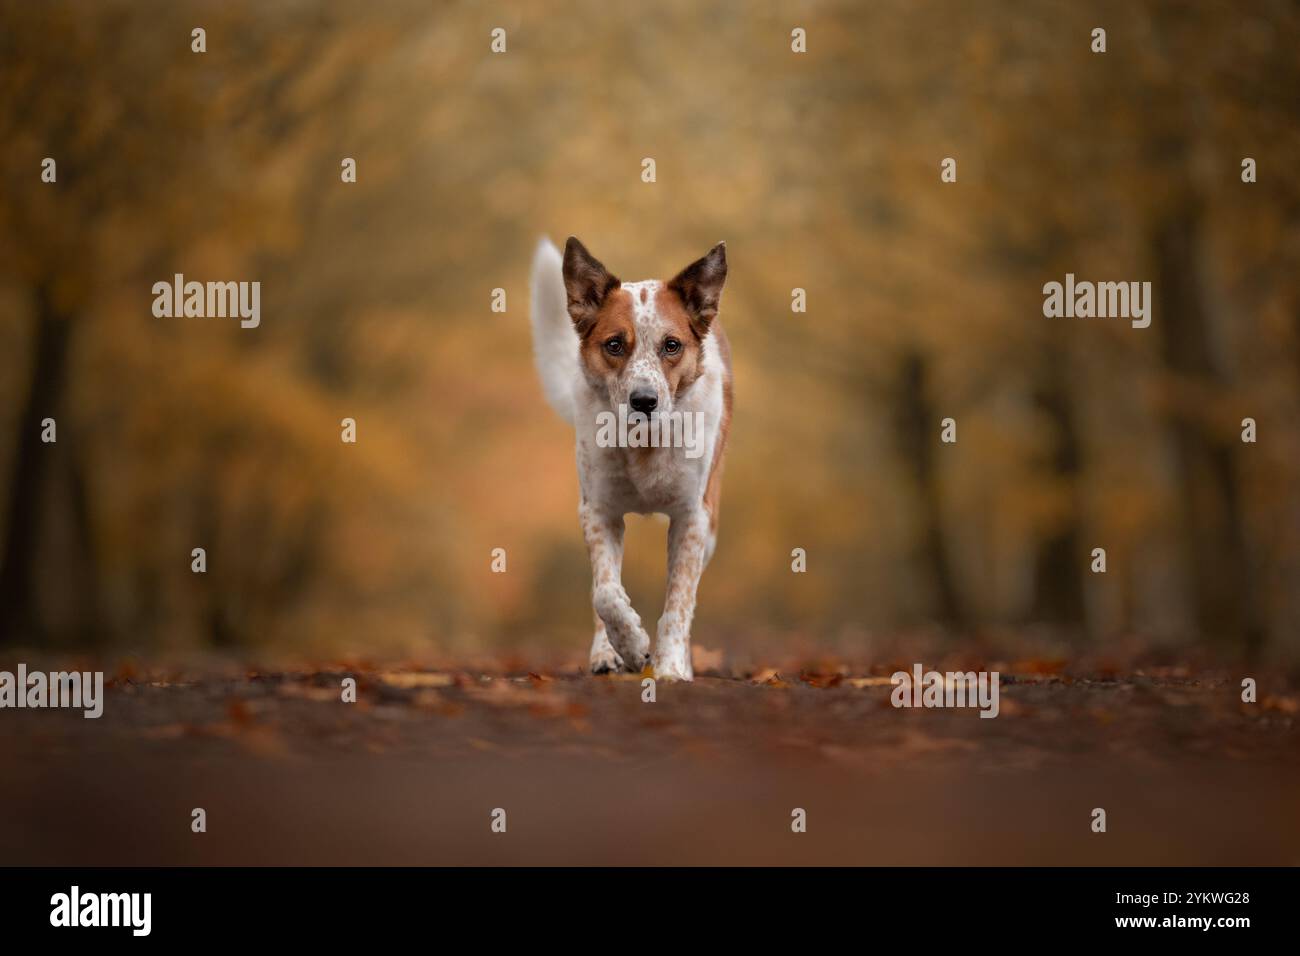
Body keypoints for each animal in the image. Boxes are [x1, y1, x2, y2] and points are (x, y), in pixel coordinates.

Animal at [527, 236, 733, 681]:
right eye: (614, 344)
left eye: (671, 345)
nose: (644, 401)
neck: (644, 446)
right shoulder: (598, 511)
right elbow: (605, 593)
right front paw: (632, 646)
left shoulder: (693, 518)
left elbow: (678, 603)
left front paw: (670, 669)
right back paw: (607, 656)